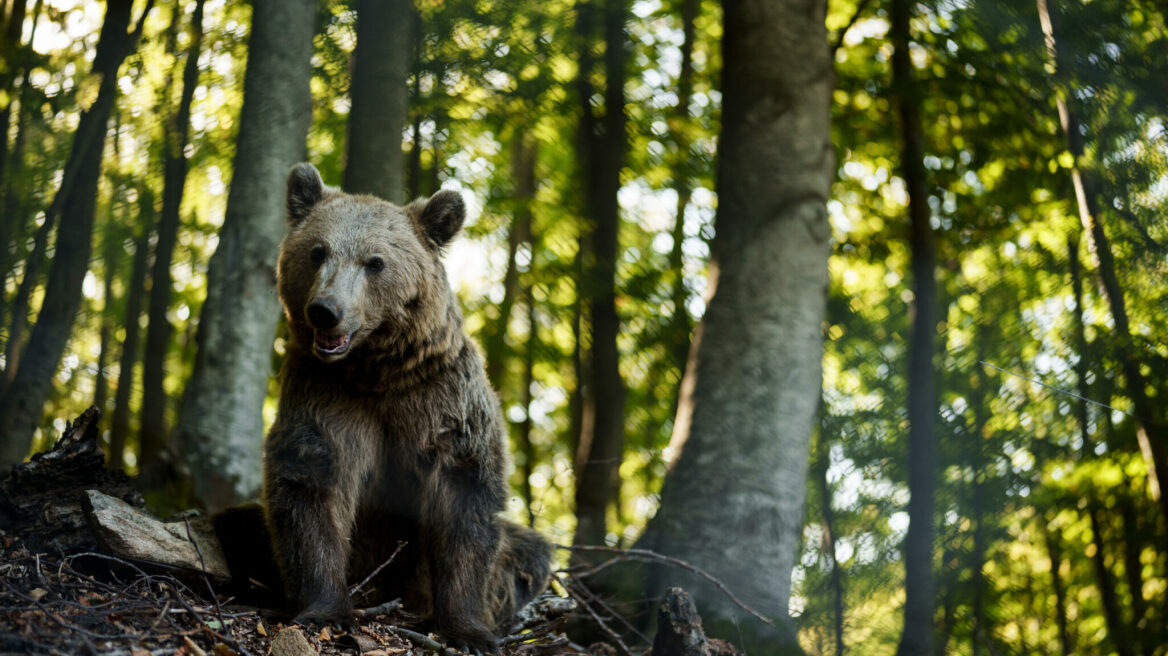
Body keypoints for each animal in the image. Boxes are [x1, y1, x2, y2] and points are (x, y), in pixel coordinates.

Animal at [262, 162, 553, 648]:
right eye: (318, 251)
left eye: (375, 262)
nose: (326, 310)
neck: (376, 372)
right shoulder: (327, 397)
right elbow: (313, 484)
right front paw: (325, 611)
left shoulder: (442, 401)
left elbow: (463, 500)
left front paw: (468, 630)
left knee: (531, 554)